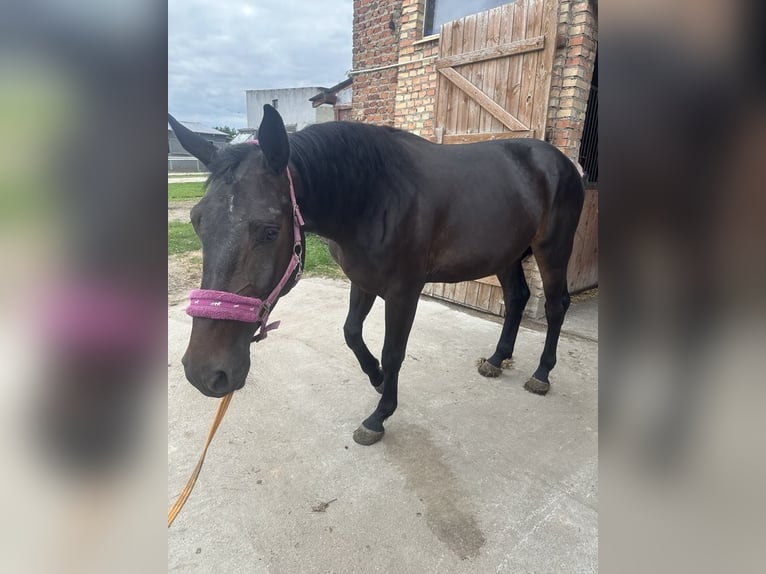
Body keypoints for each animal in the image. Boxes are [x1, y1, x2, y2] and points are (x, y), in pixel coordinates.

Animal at [171, 107, 584, 450]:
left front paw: (379, 415)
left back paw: (542, 374)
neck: (375, 196)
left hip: (553, 250)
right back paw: (497, 359)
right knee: (516, 298)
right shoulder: (364, 280)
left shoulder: (404, 292)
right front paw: (378, 378)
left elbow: (393, 351)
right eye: (196, 221)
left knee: (555, 305)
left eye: (270, 231)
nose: (204, 372)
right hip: (507, 254)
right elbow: (351, 332)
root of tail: (562, 162)